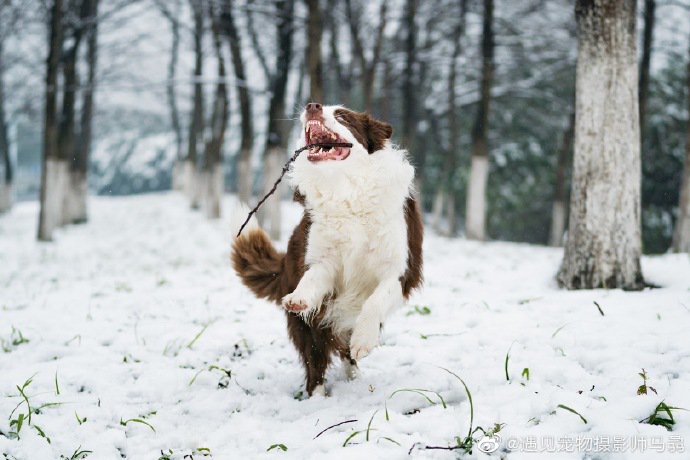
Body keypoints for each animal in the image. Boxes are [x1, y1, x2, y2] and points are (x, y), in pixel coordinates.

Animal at [231, 103, 422, 396]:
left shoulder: (400, 271)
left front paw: (364, 340)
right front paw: (300, 297)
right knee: (315, 362)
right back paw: (318, 397)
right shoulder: (325, 261)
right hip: (311, 325)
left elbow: (376, 300)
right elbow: (313, 276)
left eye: (343, 116)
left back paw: (354, 374)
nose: (312, 106)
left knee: (344, 351)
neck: (345, 190)